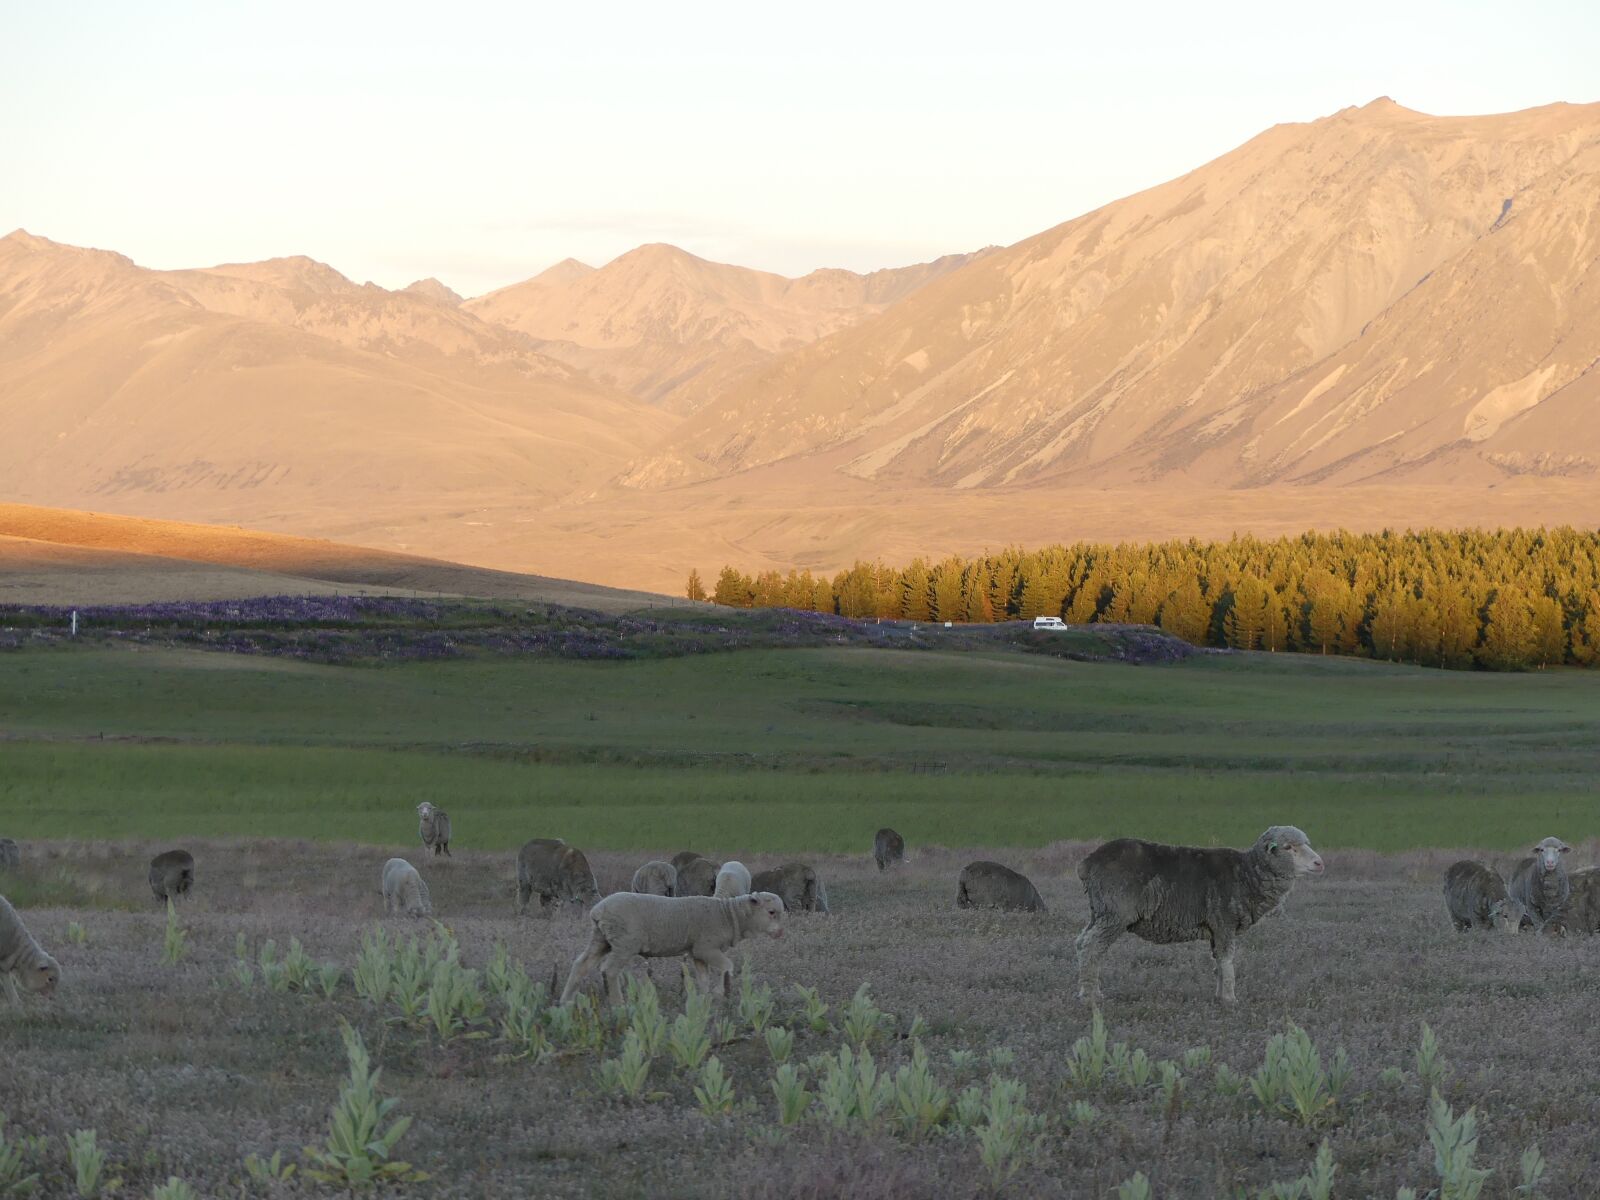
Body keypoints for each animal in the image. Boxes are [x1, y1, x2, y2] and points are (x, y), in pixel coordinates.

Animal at [559, 891, 785, 1005]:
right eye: (771, 912)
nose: (780, 933)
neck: (729, 916)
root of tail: (598, 911)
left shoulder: (697, 953)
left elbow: (703, 977)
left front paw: (704, 1000)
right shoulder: (706, 948)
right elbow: (726, 966)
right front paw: (720, 993)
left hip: (601, 938)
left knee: (581, 964)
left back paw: (566, 1001)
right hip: (625, 942)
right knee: (610, 969)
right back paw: (618, 1005)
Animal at [1076, 825, 1325, 1006]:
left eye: (1306, 844)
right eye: (1289, 847)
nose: (1319, 863)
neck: (1247, 876)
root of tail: (1088, 863)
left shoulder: (1217, 928)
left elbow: (1219, 962)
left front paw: (1219, 996)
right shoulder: (1223, 921)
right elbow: (1227, 960)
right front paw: (1230, 999)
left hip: (1099, 911)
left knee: (1082, 942)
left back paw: (1085, 991)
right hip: (1115, 913)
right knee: (1092, 947)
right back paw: (1090, 996)